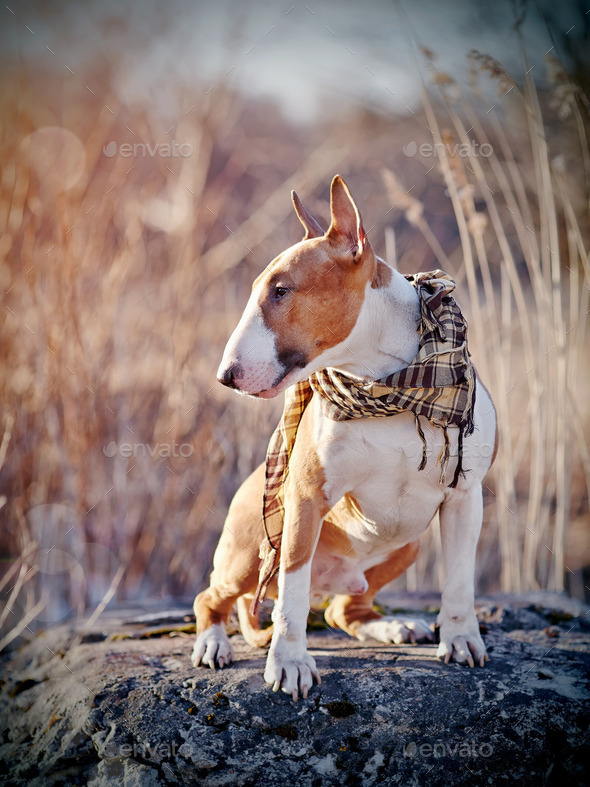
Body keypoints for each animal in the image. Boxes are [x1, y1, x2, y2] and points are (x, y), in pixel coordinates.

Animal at [192, 174, 498, 700]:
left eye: (281, 290)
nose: (224, 376)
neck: (389, 386)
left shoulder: (464, 497)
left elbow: (459, 580)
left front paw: (461, 640)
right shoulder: (305, 498)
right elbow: (291, 595)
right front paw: (289, 662)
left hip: (408, 546)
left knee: (343, 610)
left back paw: (393, 625)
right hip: (248, 550)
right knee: (211, 597)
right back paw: (213, 643)